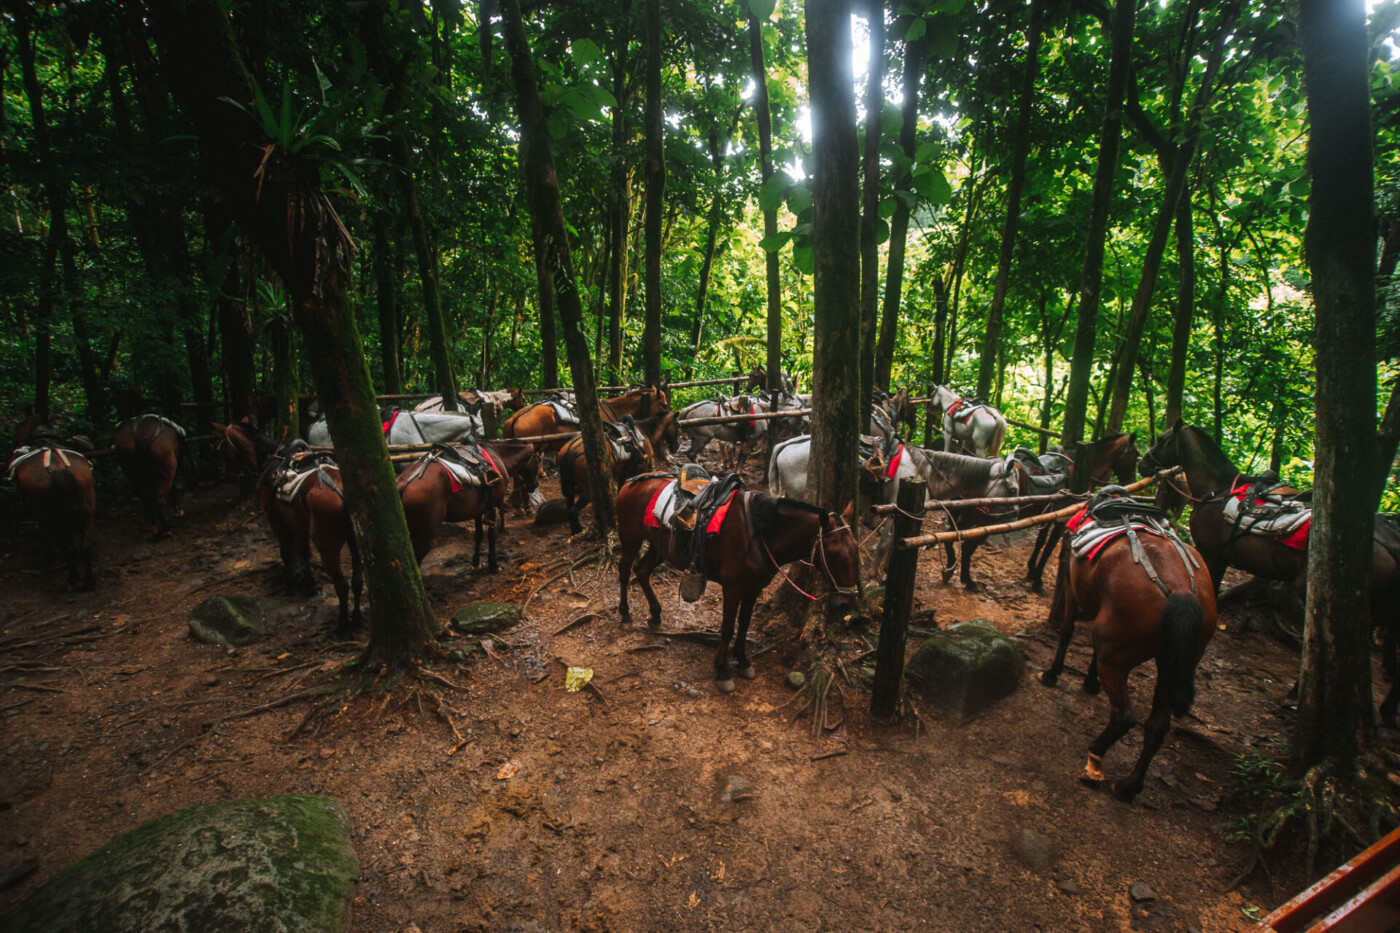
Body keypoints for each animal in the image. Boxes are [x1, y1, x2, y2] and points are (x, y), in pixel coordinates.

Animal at [7, 442, 97, 588]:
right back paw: (89, 580)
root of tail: (58, 469)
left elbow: (46, 536)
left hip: (51, 515)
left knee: (67, 547)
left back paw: (73, 578)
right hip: (88, 510)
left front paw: (51, 558)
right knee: (85, 546)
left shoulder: (42, 516)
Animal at [259, 442, 364, 633]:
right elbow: (304, 553)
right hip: (357, 541)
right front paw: (309, 583)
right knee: (357, 581)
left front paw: (291, 584)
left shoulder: (277, 521)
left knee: (342, 584)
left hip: (327, 547)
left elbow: (286, 553)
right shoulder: (300, 525)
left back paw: (342, 625)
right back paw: (357, 618)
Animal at [618, 479, 856, 689]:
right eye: (833, 553)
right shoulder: (732, 588)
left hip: (658, 545)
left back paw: (655, 613)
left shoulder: (754, 587)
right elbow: (727, 628)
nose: (846, 602)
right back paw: (625, 614)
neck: (758, 533)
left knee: (642, 571)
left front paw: (742, 660)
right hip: (631, 538)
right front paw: (722, 670)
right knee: (624, 571)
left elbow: (743, 623)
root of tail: (630, 482)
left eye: (855, 548)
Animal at [1041, 515, 1215, 801]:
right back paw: (1129, 786)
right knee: (1157, 726)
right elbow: (1090, 645)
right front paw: (1090, 681)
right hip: (1172, 661)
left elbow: (1067, 630)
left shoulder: (1072, 583)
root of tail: (1180, 590)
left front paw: (1052, 673)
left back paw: (1095, 762)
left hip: (1118, 654)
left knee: (1124, 716)